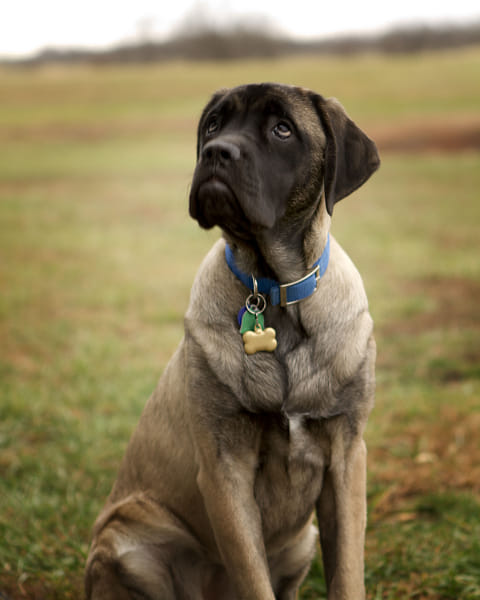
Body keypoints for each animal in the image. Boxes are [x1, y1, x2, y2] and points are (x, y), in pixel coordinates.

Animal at [85, 84, 378, 600]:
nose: (216, 153)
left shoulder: (346, 458)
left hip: (303, 540)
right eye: (214, 125)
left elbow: (347, 575)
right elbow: (253, 577)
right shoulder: (226, 469)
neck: (273, 286)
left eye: (283, 129)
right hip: (128, 544)